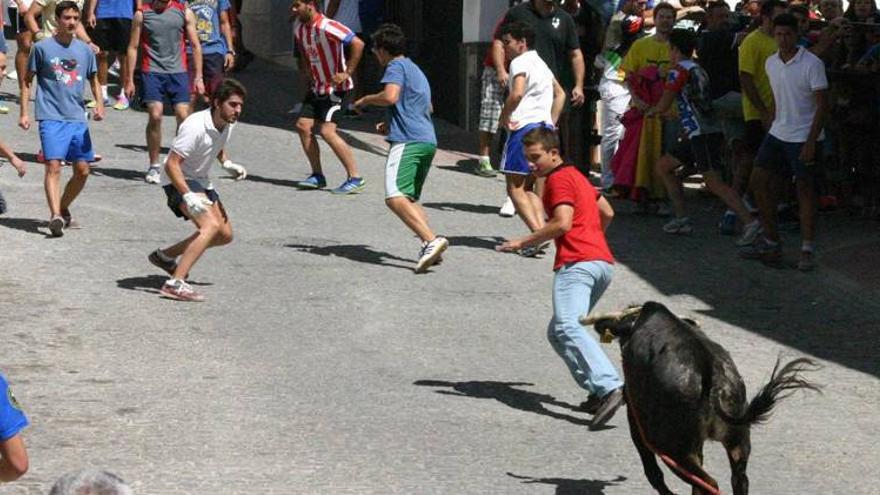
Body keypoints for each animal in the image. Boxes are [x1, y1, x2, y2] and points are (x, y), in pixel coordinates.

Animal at [580, 302, 820, 495]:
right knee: (737, 480)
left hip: (673, 447)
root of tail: (714, 374)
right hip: (737, 442)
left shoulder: (636, 419)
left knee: (708, 483)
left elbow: (652, 471)